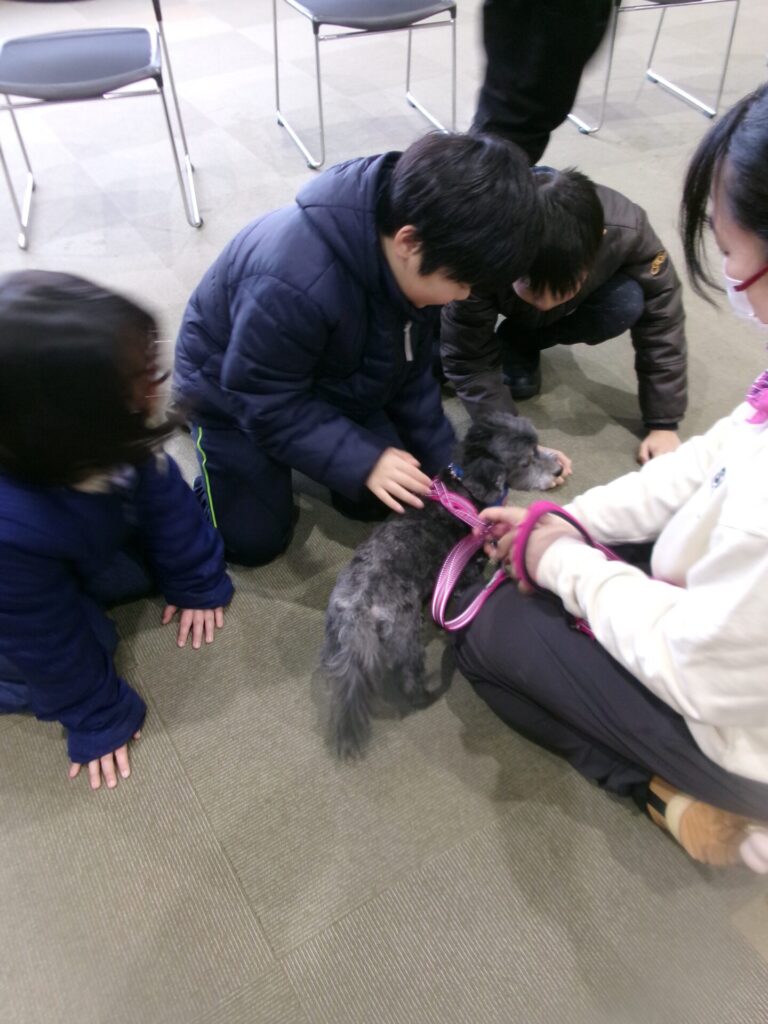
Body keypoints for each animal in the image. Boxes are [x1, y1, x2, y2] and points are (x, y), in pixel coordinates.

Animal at [321, 412, 563, 758]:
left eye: (538, 446)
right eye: (527, 460)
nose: (557, 470)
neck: (463, 492)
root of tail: (358, 610)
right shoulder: (467, 572)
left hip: (336, 639)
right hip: (406, 632)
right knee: (409, 681)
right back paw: (426, 693)